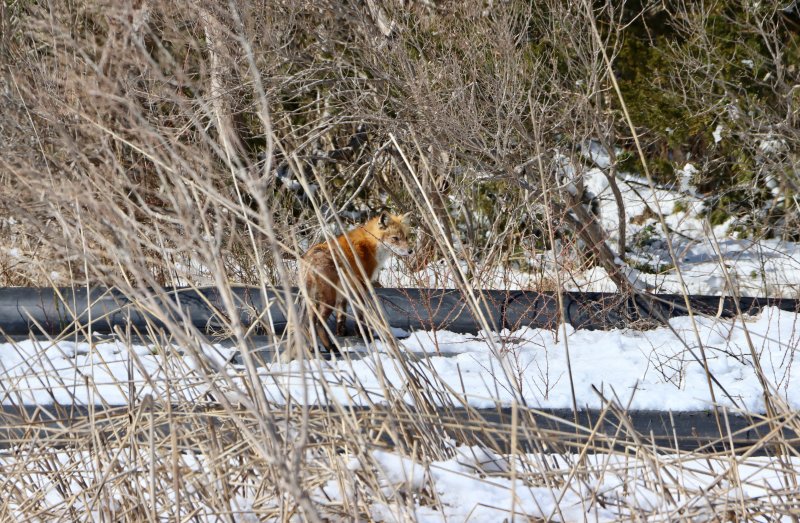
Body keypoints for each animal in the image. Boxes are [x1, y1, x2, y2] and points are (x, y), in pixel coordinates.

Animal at [300, 212, 414, 353]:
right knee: (318, 323)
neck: (371, 245)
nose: (410, 251)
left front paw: (341, 332)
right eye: (395, 238)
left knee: (310, 323)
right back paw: (330, 347)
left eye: (406, 237)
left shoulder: (344, 289)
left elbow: (341, 313)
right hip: (328, 298)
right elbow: (360, 313)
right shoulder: (361, 283)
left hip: (313, 299)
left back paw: (313, 348)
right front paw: (362, 334)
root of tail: (310, 259)